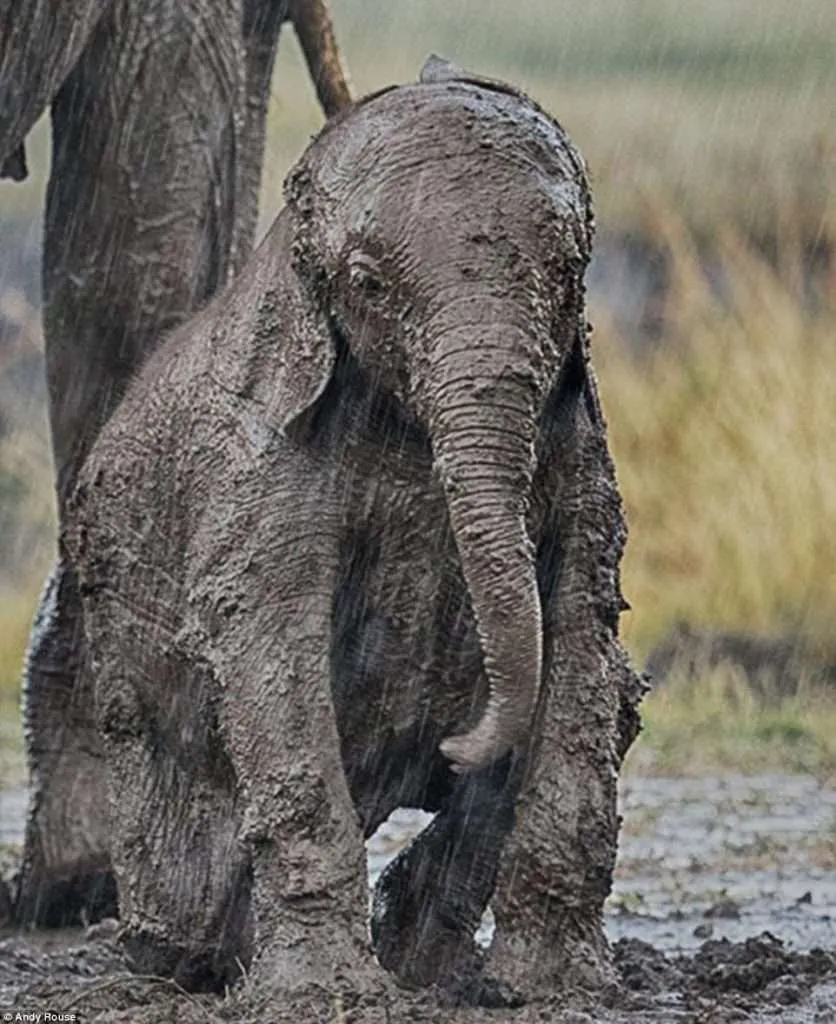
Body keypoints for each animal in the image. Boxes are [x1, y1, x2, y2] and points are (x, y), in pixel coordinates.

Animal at [71, 58, 639, 1007]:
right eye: (370, 284)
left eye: (568, 272)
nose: (455, 742)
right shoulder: (255, 466)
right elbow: (271, 651)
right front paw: (326, 998)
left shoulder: (581, 453)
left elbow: (583, 644)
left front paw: (551, 991)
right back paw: (183, 960)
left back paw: (428, 967)